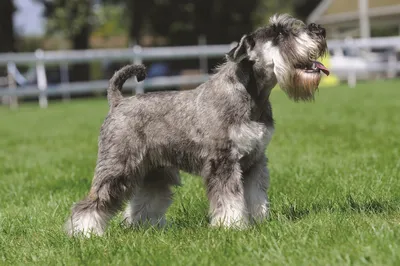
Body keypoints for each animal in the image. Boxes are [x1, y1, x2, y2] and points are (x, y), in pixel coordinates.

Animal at [65, 14, 328, 237]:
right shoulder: (223, 161)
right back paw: (85, 233)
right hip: (118, 165)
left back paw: (144, 227)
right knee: (93, 201)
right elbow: (229, 198)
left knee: (146, 199)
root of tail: (118, 102)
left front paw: (259, 221)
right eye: (279, 34)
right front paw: (232, 226)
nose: (319, 29)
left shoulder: (255, 161)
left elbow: (256, 196)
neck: (251, 96)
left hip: (153, 170)